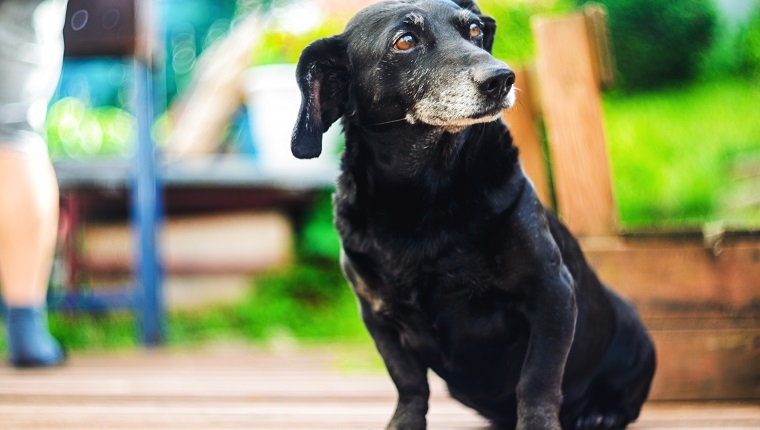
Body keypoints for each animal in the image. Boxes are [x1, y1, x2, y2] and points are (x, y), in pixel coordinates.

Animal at [288, 1, 656, 428]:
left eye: (475, 30)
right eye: (405, 41)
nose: (502, 78)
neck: (426, 200)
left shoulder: (551, 294)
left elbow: (538, 380)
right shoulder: (379, 318)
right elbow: (409, 383)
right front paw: (404, 421)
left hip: (634, 333)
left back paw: (600, 414)